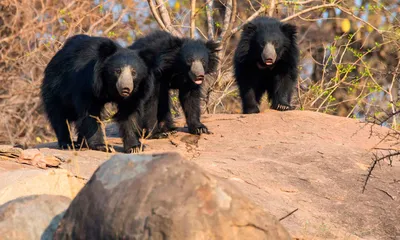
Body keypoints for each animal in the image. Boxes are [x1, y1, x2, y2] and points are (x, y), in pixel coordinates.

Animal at [41, 34, 177, 152]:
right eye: (117, 71)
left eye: (134, 72)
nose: (126, 89)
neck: (109, 85)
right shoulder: (87, 84)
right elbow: (89, 113)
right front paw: (102, 146)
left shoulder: (135, 93)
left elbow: (128, 114)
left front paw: (135, 147)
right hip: (55, 88)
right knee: (59, 116)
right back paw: (68, 144)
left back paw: (81, 143)